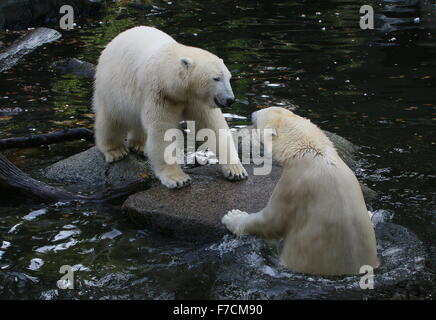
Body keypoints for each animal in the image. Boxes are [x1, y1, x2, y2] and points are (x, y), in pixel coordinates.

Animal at [93, 27, 247, 189]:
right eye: (216, 78)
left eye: (228, 77)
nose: (230, 99)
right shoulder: (159, 95)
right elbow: (163, 132)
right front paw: (178, 178)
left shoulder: (196, 99)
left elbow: (213, 127)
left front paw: (236, 170)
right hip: (110, 86)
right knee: (110, 119)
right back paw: (116, 151)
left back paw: (139, 145)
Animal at [221, 107, 378, 276]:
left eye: (263, 112)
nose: (252, 113)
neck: (313, 153)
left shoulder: (293, 186)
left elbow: (270, 221)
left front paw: (232, 216)